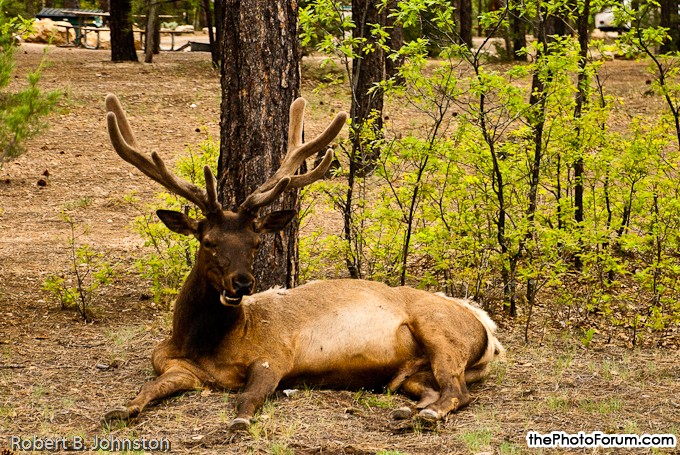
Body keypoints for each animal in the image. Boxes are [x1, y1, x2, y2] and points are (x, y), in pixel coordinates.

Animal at [103, 93, 502, 432]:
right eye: (208, 242)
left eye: (255, 243)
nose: (243, 283)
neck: (202, 346)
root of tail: (489, 331)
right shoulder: (176, 367)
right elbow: (148, 389)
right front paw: (119, 408)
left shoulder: (274, 354)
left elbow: (249, 397)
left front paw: (239, 422)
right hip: (413, 373)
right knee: (432, 388)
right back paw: (408, 412)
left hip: (440, 331)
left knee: (458, 392)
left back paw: (426, 415)